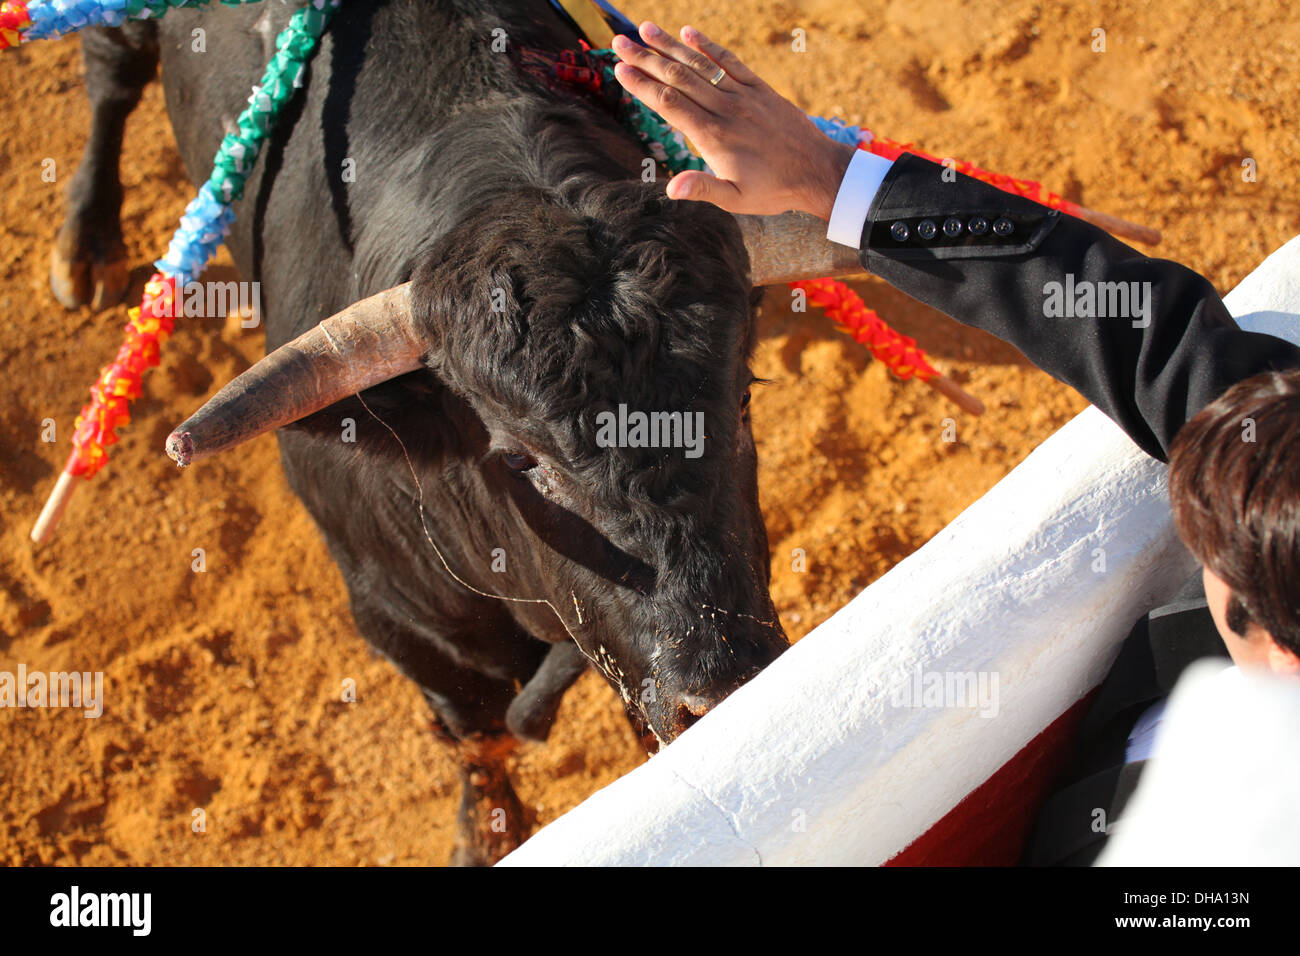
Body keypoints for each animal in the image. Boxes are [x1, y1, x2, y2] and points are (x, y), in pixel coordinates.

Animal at [53, 1, 852, 868]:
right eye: (520, 460)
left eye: (739, 400)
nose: (725, 691)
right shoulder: (401, 620)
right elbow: (480, 735)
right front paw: (487, 833)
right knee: (109, 73)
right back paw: (85, 245)